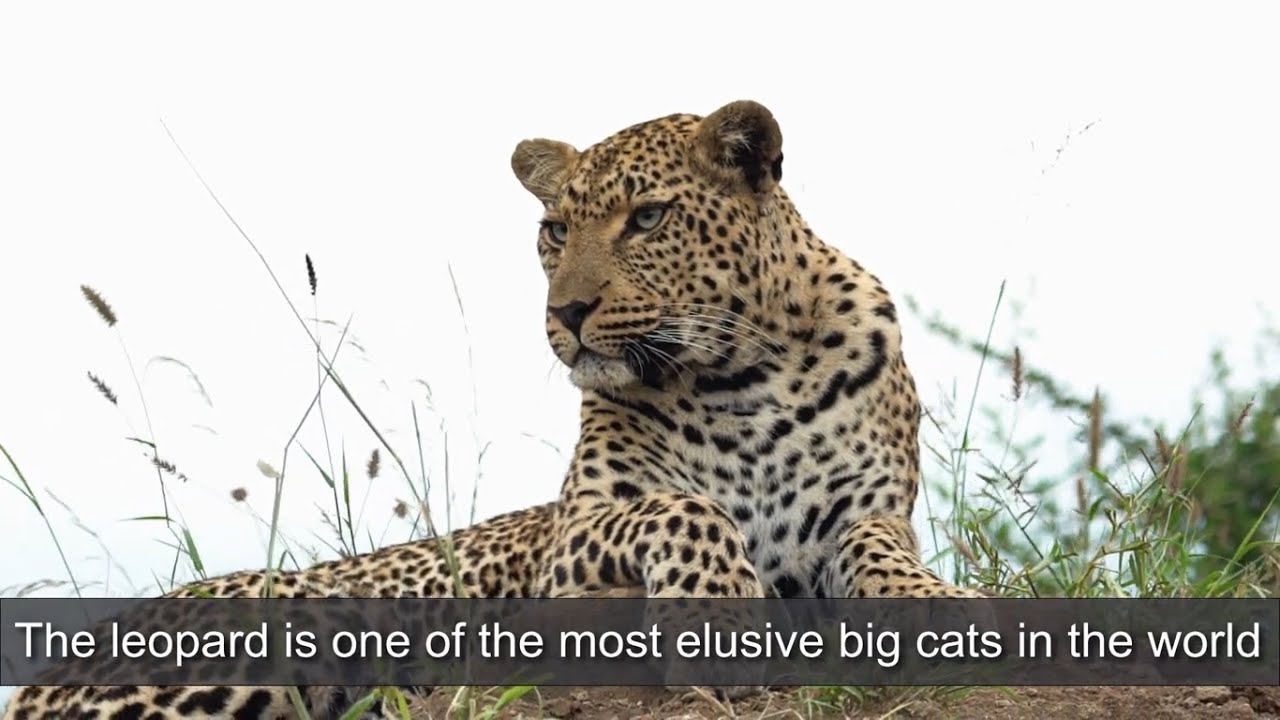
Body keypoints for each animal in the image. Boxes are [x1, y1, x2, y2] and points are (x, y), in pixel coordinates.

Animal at [2, 99, 984, 720]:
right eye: (554, 231)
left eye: (648, 219)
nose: (568, 313)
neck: (740, 375)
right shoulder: (575, 544)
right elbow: (683, 505)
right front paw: (716, 602)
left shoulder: (866, 512)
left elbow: (882, 554)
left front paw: (945, 601)